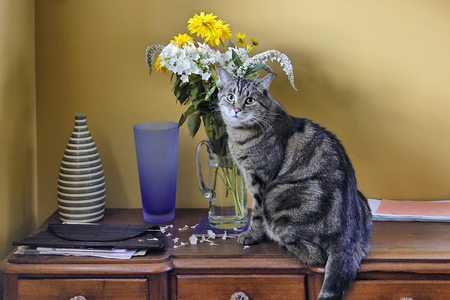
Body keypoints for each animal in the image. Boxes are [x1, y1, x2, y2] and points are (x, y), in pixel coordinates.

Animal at [218, 68, 372, 300]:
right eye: (230, 97)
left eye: (250, 100)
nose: (236, 109)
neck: (240, 135)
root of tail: (346, 237)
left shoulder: (260, 181)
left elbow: (256, 214)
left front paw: (251, 235)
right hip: (363, 201)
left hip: (277, 199)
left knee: (315, 256)